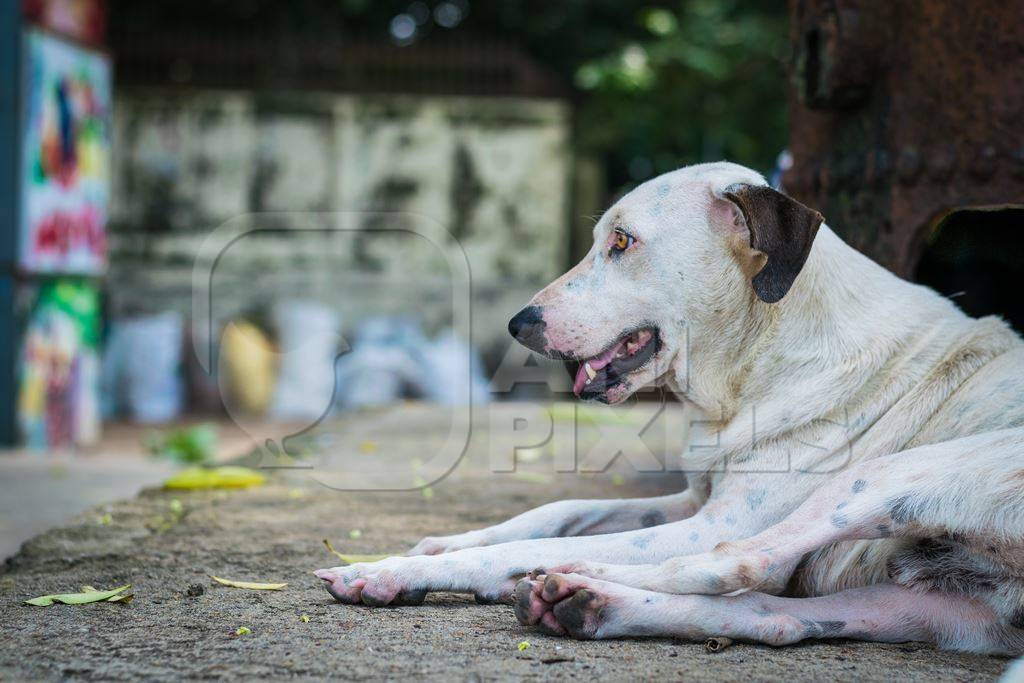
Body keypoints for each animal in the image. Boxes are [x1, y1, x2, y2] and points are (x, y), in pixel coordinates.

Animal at [313, 161, 1024, 655]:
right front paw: (443, 545)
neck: (757, 364)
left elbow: (534, 540)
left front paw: (395, 569)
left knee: (739, 563)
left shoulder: (709, 522)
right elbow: (558, 508)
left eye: (623, 242)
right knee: (771, 617)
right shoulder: (691, 501)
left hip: (890, 478)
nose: (519, 325)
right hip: (936, 611)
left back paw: (571, 574)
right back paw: (588, 603)